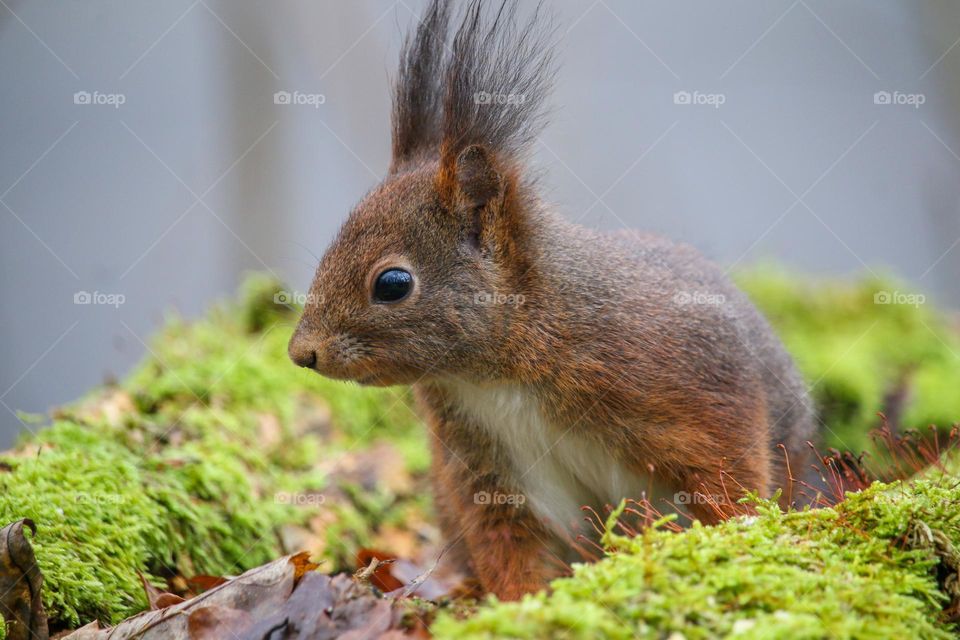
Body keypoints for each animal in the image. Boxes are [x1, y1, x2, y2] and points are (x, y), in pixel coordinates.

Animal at [288, 0, 812, 600]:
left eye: (392, 284)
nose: (302, 352)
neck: (497, 376)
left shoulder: (695, 386)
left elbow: (731, 476)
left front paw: (736, 540)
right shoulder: (486, 465)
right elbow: (509, 542)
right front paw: (519, 605)